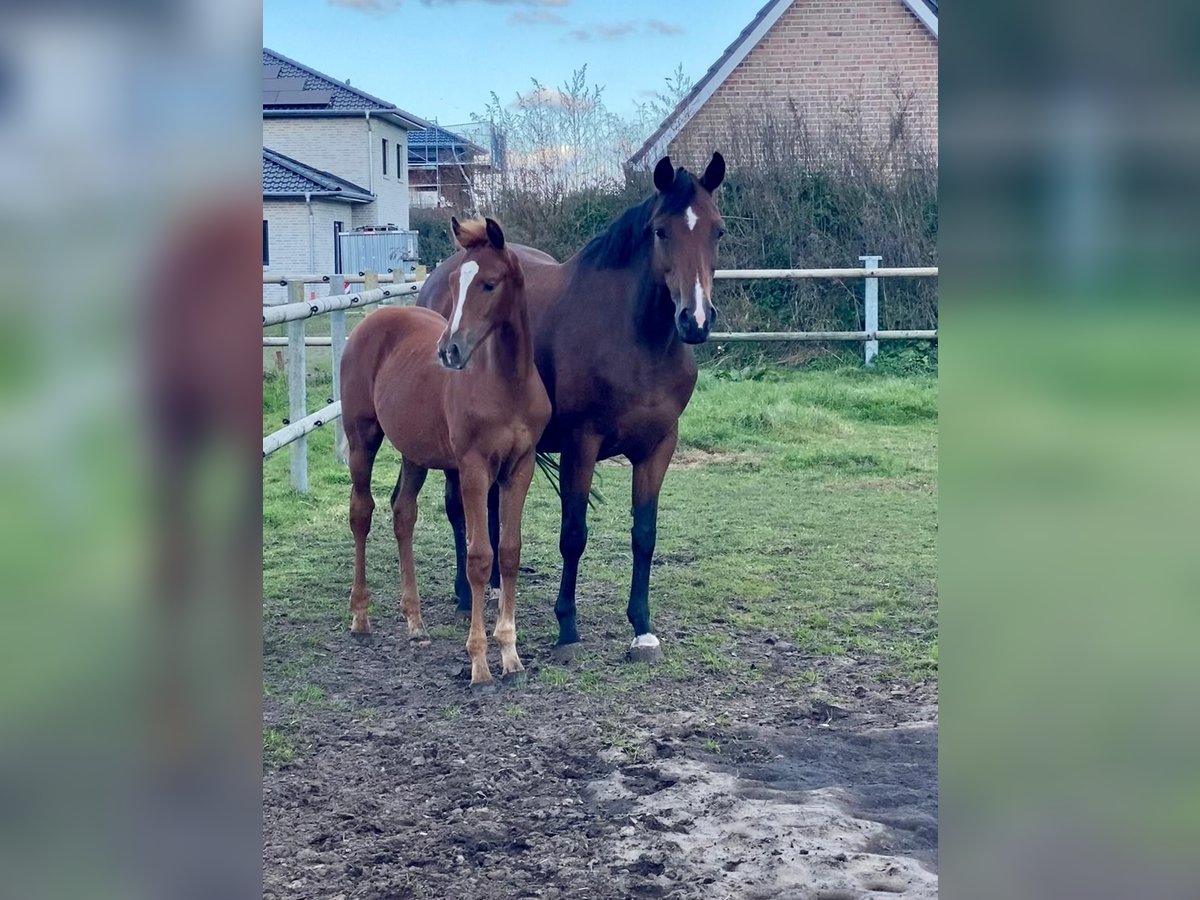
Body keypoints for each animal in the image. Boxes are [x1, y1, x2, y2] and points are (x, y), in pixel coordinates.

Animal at [333, 217, 549, 681]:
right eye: (453, 281)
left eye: (489, 283)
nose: (448, 350)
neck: (506, 384)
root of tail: (373, 320)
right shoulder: (473, 469)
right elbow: (479, 557)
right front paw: (480, 662)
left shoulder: (519, 468)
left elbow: (509, 552)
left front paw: (511, 655)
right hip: (363, 439)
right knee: (361, 513)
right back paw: (360, 616)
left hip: (414, 452)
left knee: (403, 514)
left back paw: (415, 623)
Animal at [417, 153, 724, 662]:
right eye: (661, 231)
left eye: (718, 231)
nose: (695, 320)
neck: (635, 340)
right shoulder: (582, 445)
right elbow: (573, 535)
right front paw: (567, 626)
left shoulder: (658, 447)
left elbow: (645, 535)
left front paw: (642, 628)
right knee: (457, 508)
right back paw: (465, 593)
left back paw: (495, 587)